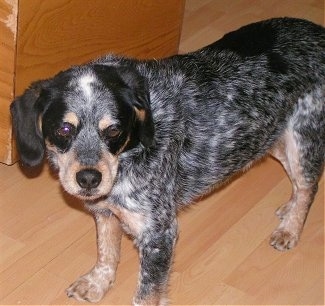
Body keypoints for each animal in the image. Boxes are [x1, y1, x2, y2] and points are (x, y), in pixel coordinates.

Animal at [10, 17, 324, 304]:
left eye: (114, 130)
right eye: (64, 129)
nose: (89, 179)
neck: (129, 155)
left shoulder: (158, 234)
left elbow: (146, 294)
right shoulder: (106, 212)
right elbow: (106, 252)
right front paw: (97, 283)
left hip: (302, 136)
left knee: (308, 185)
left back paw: (290, 229)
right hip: (272, 136)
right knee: (297, 183)